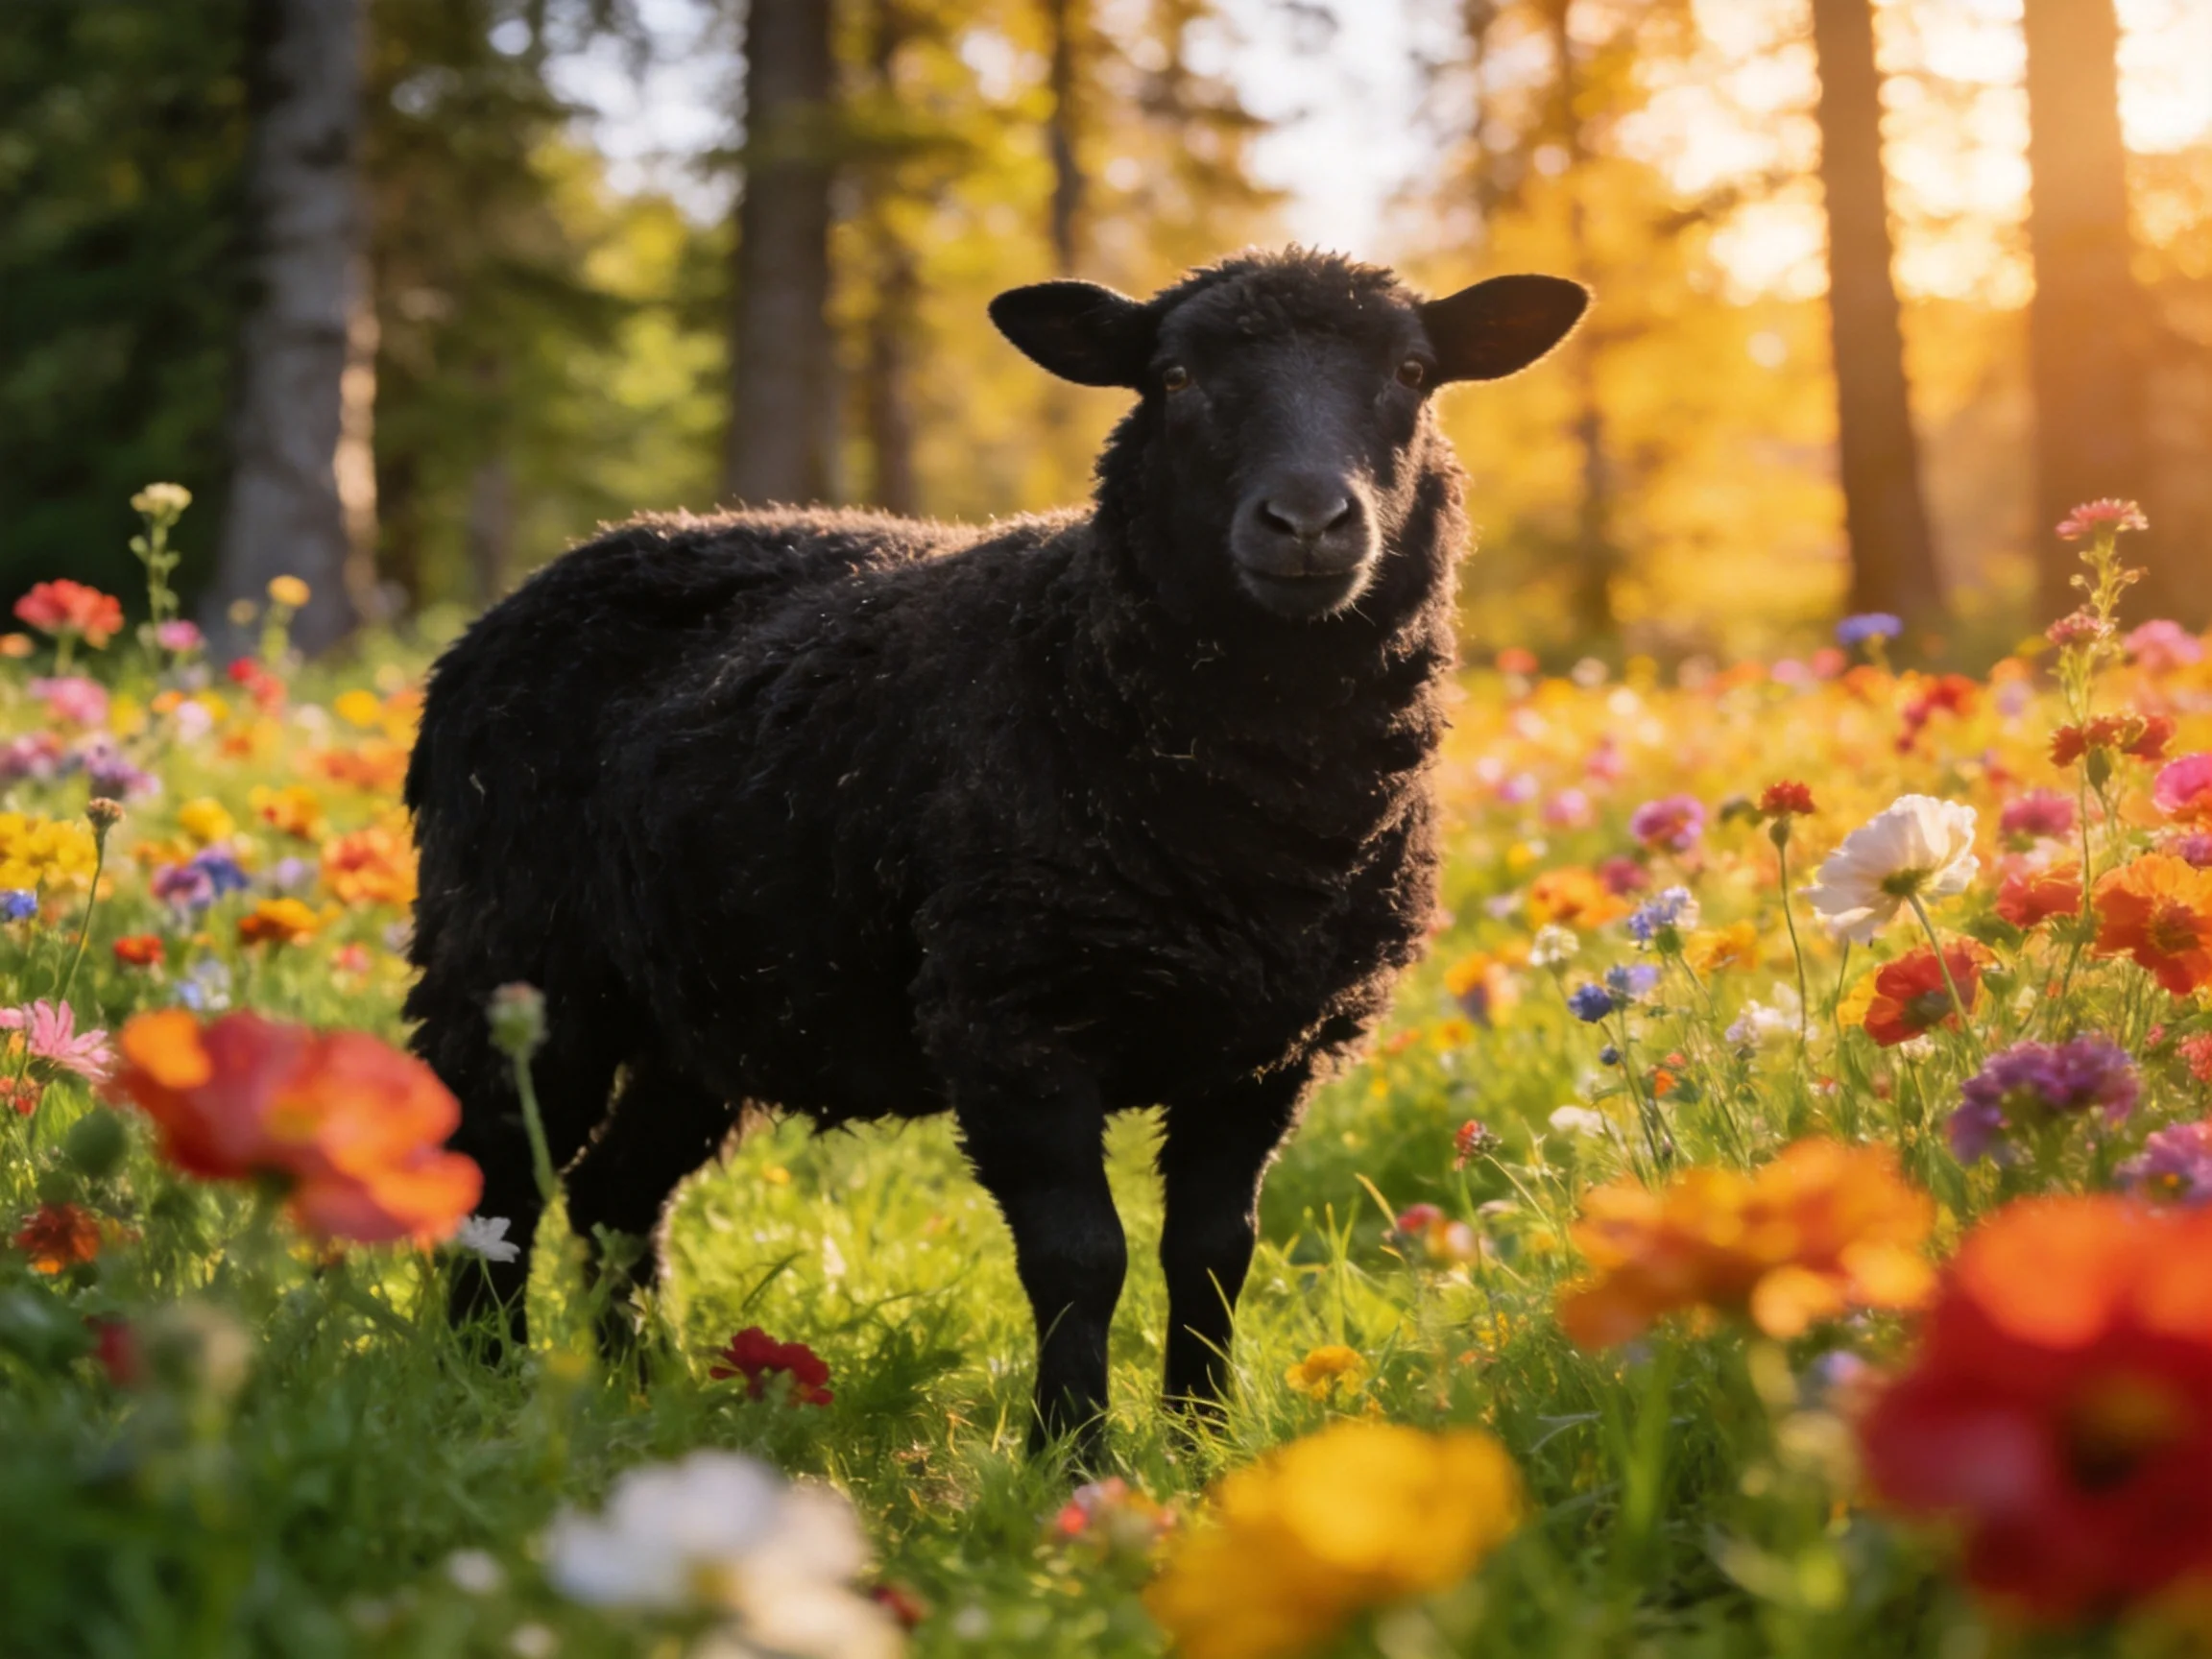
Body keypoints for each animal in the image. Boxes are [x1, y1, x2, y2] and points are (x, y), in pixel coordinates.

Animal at [404, 248, 1586, 1452]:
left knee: (612, 1193)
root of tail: (552, 575)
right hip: (514, 956)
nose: (1307, 520)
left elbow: (1215, 1253)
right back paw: (477, 1387)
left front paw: (1201, 1444)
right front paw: (1070, 1456)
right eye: (1173, 377)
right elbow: (1082, 1258)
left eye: (1412, 372)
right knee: (494, 1175)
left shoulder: (1264, 1051)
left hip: (708, 1005)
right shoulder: (1010, 1022)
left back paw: (643, 1393)